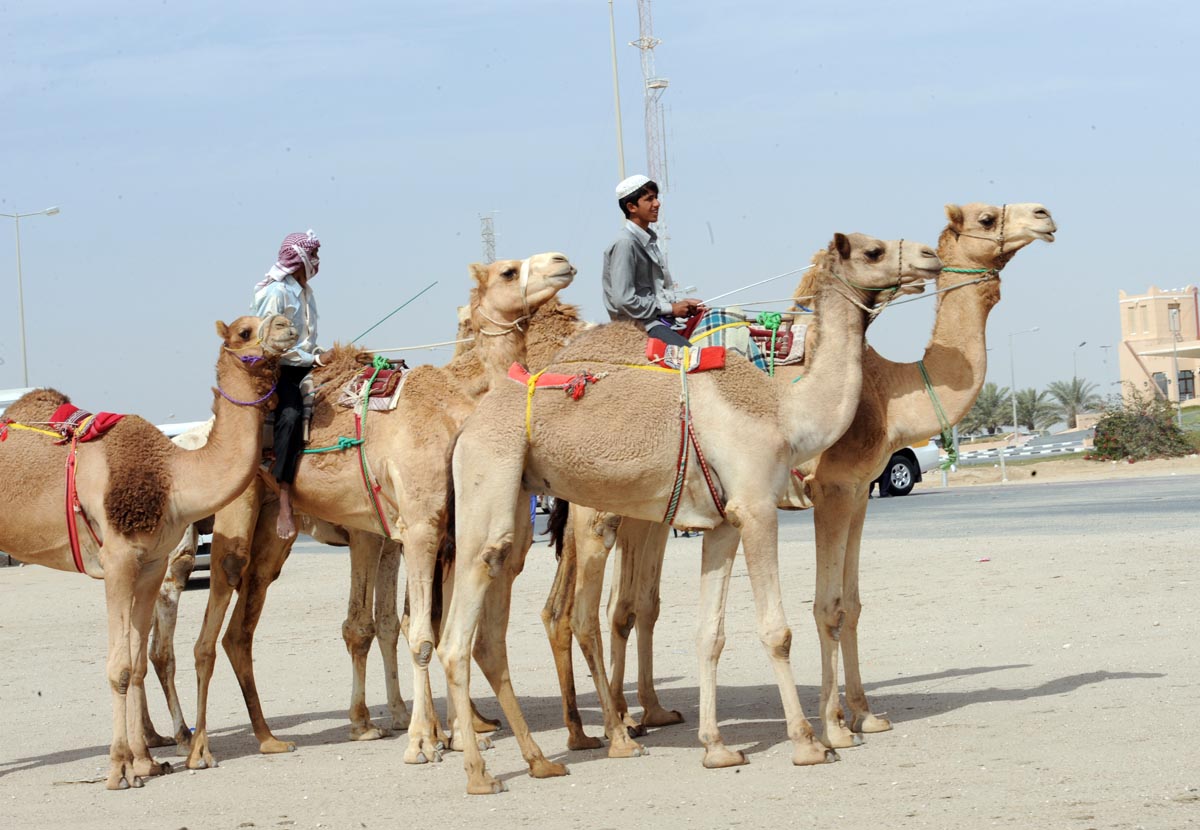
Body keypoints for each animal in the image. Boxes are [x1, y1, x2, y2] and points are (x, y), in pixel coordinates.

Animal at [0, 314, 296, 789]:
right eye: (245, 331)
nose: (287, 325)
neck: (173, 475)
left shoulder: (153, 562)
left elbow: (139, 661)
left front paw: (145, 761)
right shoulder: (119, 559)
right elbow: (120, 666)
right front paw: (120, 768)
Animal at [184, 252, 577, 773]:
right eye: (508, 271)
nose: (561, 261)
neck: (455, 408)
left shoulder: (436, 533)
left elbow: (414, 626)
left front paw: (455, 733)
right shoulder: (413, 528)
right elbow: (413, 631)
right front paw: (420, 739)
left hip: (275, 531)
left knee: (240, 628)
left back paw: (266, 738)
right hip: (235, 518)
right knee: (210, 615)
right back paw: (193, 749)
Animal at [440, 233, 942, 793]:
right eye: (873, 250)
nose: (929, 257)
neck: (783, 411)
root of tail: (468, 427)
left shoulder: (724, 522)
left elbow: (710, 635)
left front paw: (717, 748)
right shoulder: (757, 508)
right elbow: (777, 631)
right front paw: (811, 743)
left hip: (517, 503)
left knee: (492, 627)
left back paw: (544, 760)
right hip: (495, 483)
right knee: (461, 634)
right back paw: (485, 771)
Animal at [556, 203, 1057, 753]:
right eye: (987, 218)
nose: (1044, 215)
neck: (888, 397)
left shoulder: (860, 491)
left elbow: (852, 605)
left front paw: (866, 715)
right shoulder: (831, 488)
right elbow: (827, 607)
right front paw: (834, 726)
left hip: (646, 507)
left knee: (627, 606)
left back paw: (641, 715)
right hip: (597, 506)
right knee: (586, 611)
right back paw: (614, 730)